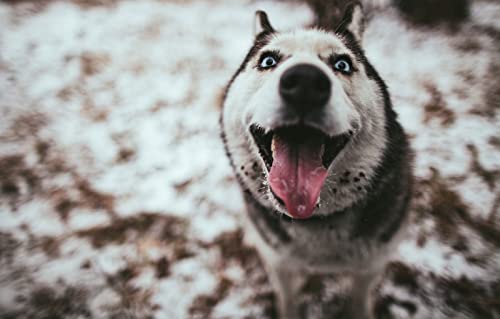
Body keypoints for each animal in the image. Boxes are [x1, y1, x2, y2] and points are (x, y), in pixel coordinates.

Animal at [221, 3, 412, 319]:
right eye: (268, 60)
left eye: (342, 64)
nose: (305, 83)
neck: (315, 222)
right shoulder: (281, 265)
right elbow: (288, 299)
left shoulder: (371, 265)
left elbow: (360, 298)